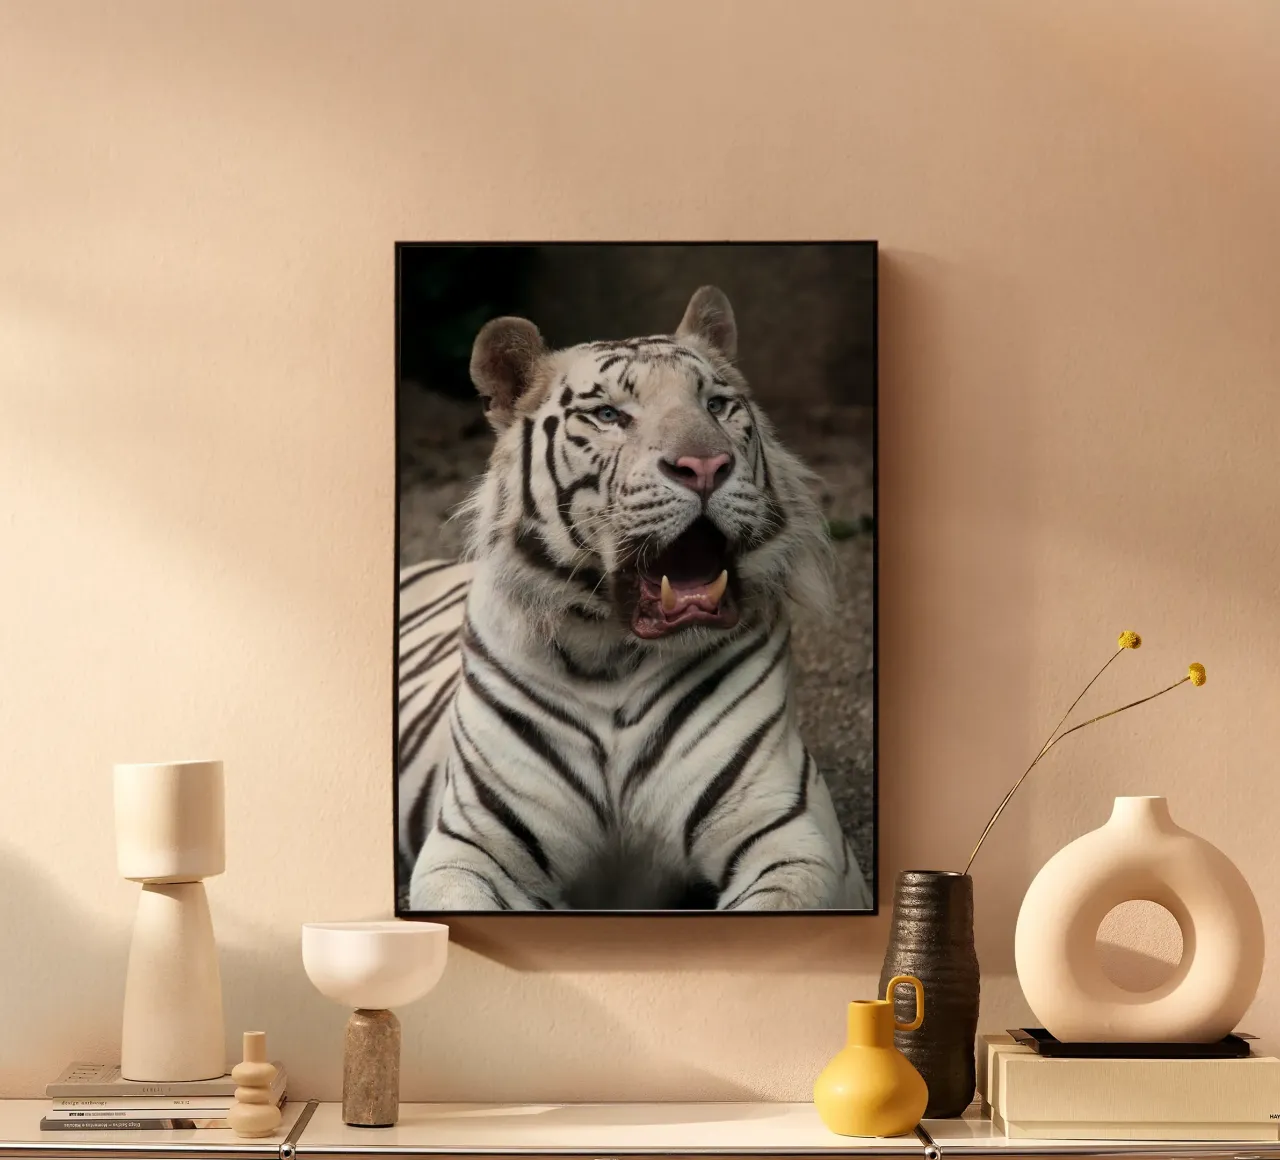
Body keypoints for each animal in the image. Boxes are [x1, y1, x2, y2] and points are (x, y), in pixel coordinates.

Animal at [397, 285, 873, 911]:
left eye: (717, 405)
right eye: (609, 415)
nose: (705, 466)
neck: (610, 656)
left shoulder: (790, 832)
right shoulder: (472, 844)